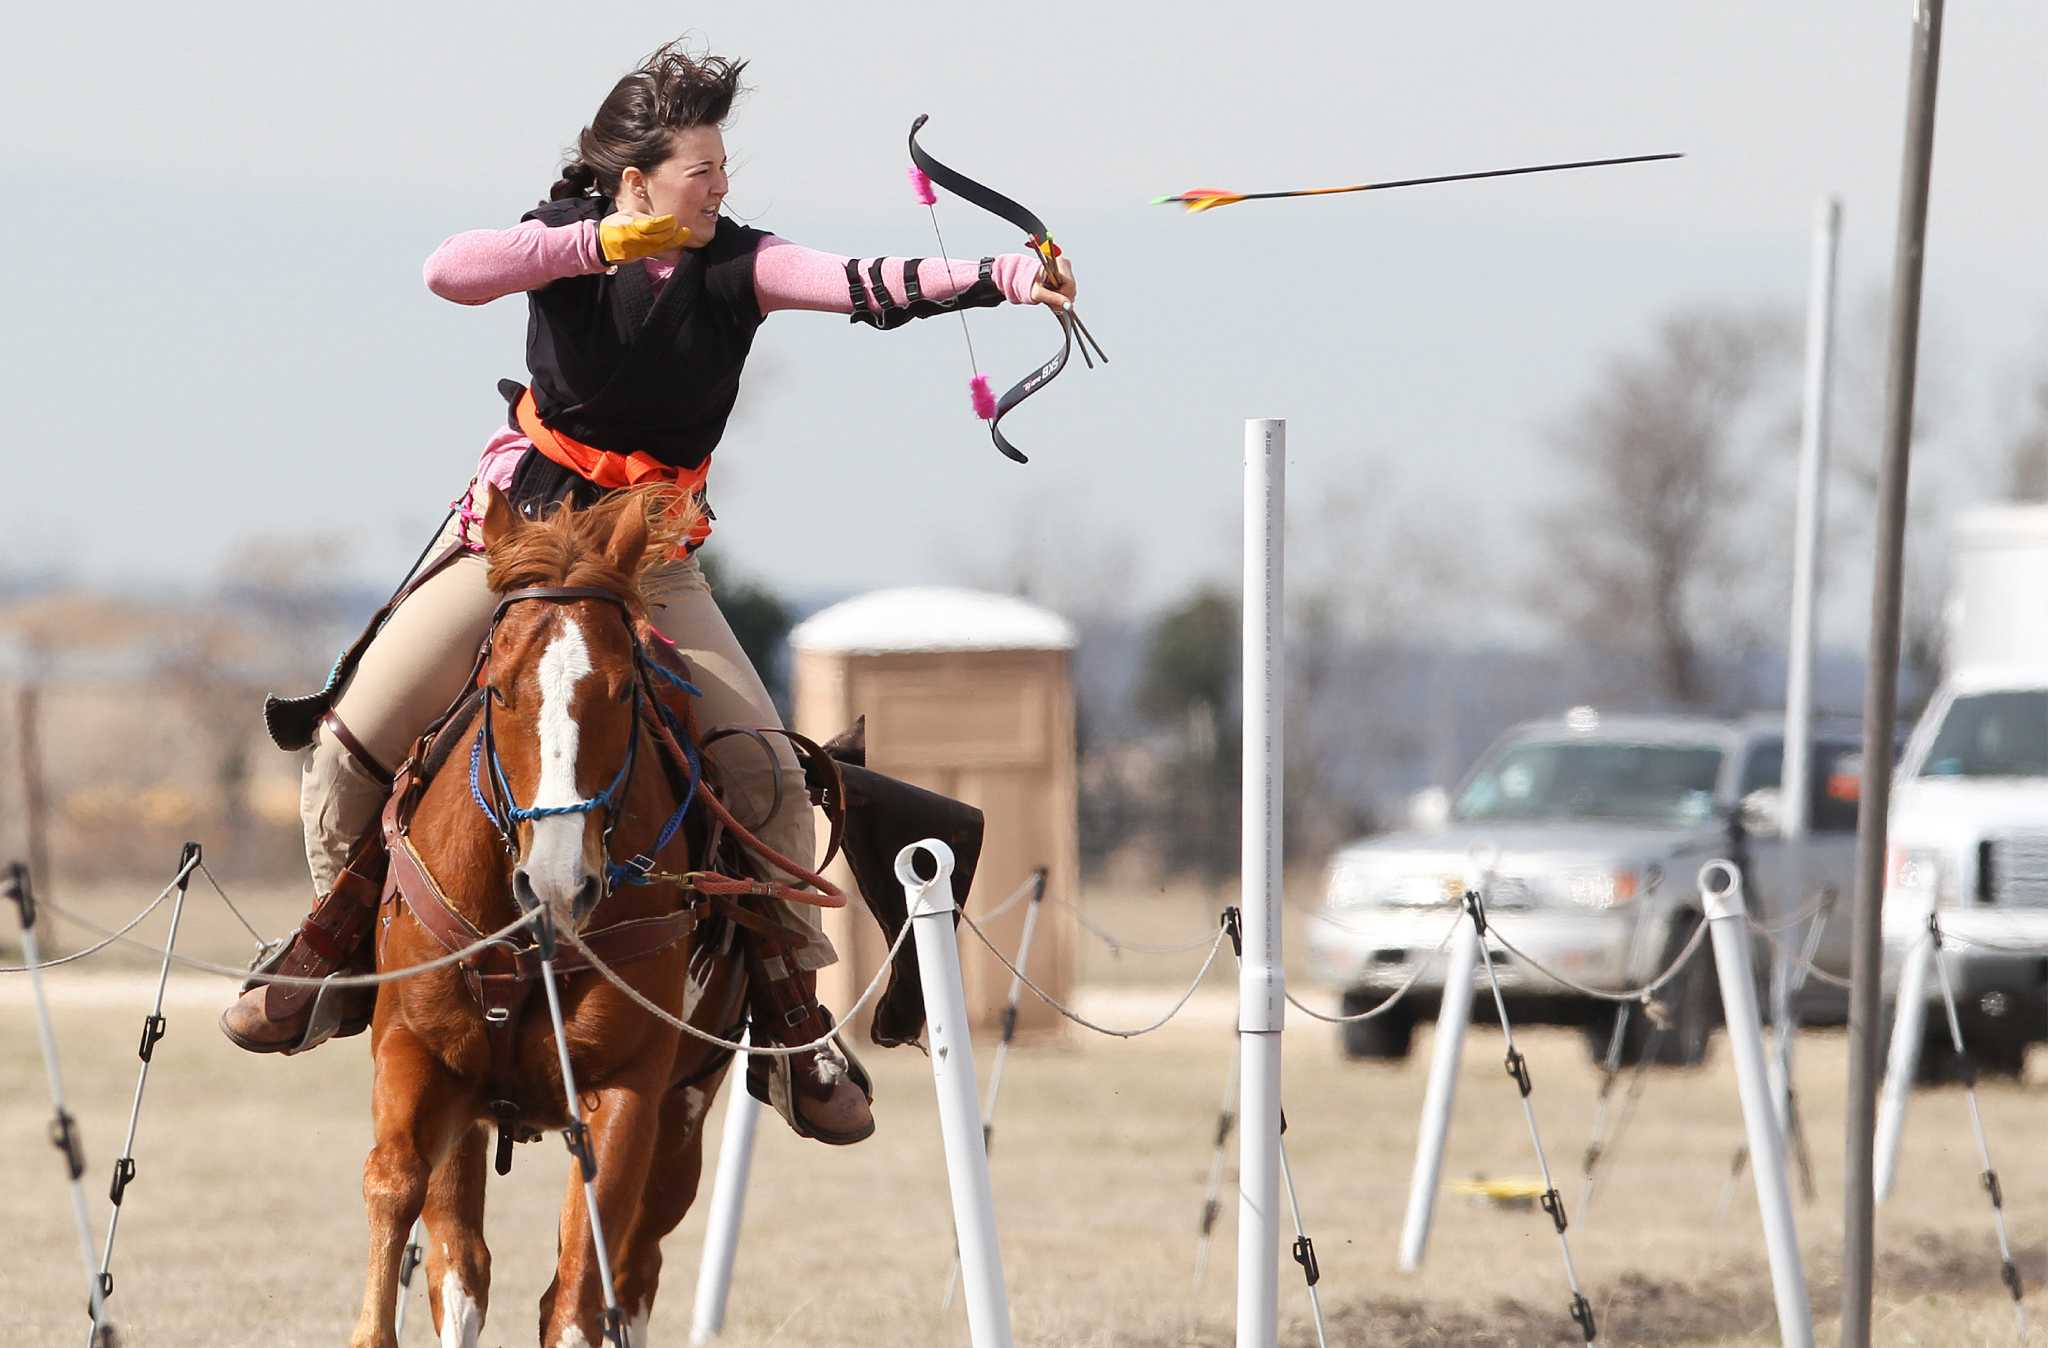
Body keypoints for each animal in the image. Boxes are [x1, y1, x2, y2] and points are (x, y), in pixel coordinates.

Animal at [347, 484, 835, 1348]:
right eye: (498, 688)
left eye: (624, 690)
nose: (556, 880)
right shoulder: (416, 1054)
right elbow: (396, 1188)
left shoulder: (628, 1094)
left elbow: (579, 1292)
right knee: (462, 1264)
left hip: (685, 1117)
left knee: (634, 1271)